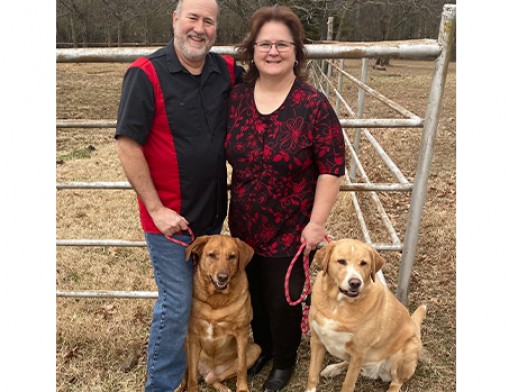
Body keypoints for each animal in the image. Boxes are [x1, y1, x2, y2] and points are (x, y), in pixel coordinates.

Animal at [184, 236, 262, 392]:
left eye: (232, 257)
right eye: (212, 255)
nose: (222, 277)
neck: (217, 300)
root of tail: (207, 371)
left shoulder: (241, 332)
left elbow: (241, 367)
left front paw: (242, 388)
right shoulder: (193, 335)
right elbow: (192, 377)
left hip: (256, 349)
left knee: (213, 379)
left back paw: (223, 387)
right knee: (189, 376)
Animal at [304, 239, 426, 392]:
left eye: (363, 263)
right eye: (341, 261)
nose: (355, 283)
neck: (338, 305)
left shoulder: (358, 353)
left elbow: (348, 384)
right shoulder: (317, 340)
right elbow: (312, 374)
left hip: (405, 351)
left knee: (396, 383)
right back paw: (333, 368)